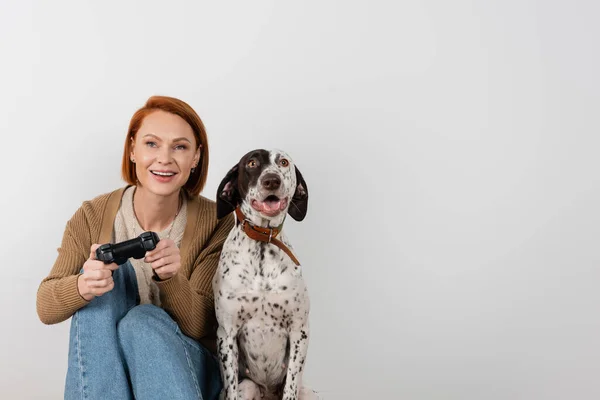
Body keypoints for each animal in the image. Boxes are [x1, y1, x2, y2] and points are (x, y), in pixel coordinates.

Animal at [214, 149, 322, 400]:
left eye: (283, 162)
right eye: (252, 163)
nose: (272, 180)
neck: (263, 241)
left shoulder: (299, 331)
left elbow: (291, 385)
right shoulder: (226, 334)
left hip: (310, 393)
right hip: (248, 386)